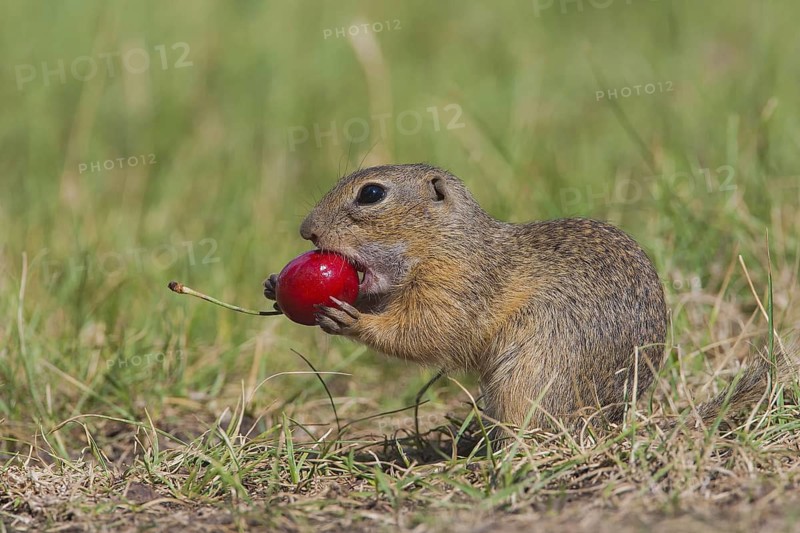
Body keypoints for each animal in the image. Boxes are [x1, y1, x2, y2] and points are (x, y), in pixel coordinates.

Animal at [264, 163, 793, 430]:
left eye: (371, 194)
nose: (306, 231)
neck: (445, 241)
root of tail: (606, 425)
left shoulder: (459, 285)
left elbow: (428, 331)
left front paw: (351, 321)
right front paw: (273, 286)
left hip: (529, 374)